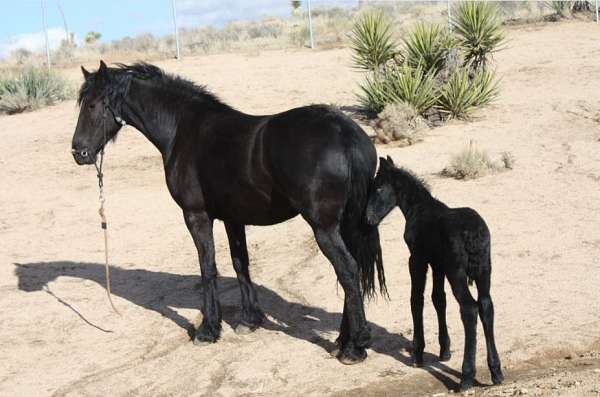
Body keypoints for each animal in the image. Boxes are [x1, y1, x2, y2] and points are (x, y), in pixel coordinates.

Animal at [69, 61, 384, 362]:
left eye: (93, 105)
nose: (78, 152)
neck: (182, 129)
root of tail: (345, 132)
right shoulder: (234, 217)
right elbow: (240, 263)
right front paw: (250, 320)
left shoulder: (196, 216)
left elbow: (207, 268)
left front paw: (208, 330)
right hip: (344, 224)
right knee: (352, 271)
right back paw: (344, 340)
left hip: (324, 227)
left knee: (348, 269)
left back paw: (355, 347)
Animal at [366, 155, 502, 390]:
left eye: (379, 188)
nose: (368, 218)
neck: (420, 209)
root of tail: (473, 234)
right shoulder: (437, 264)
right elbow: (439, 299)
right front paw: (444, 350)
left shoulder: (417, 260)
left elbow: (416, 299)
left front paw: (418, 353)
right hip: (484, 270)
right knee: (486, 305)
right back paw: (496, 372)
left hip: (457, 274)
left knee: (469, 309)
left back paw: (466, 377)